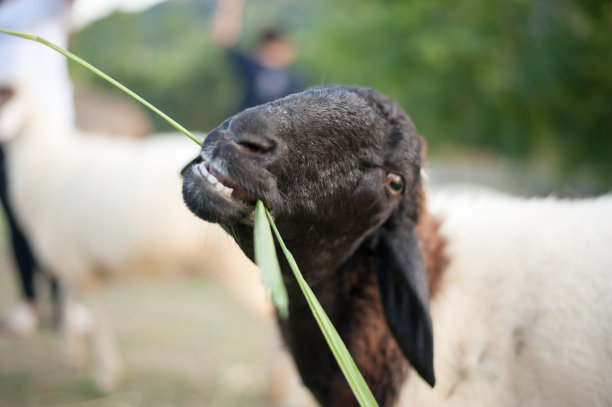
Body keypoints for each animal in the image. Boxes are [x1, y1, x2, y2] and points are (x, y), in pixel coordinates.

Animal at [0, 83, 274, 396]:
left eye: (5, 100)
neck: (45, 161)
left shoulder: (79, 263)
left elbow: (99, 317)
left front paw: (106, 377)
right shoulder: (74, 257)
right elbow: (67, 297)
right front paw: (72, 355)